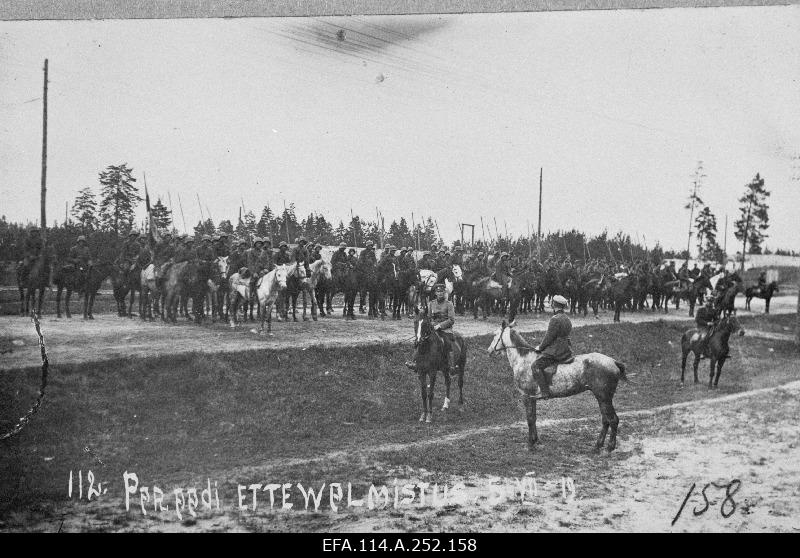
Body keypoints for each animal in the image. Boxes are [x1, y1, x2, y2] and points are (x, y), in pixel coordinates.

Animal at [484, 320, 628, 456]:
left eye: (495, 335)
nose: (489, 351)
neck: (524, 360)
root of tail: (613, 361)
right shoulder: (532, 398)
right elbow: (534, 418)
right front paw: (536, 440)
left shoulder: (526, 396)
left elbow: (529, 419)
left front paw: (530, 444)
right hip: (601, 397)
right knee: (605, 420)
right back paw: (598, 446)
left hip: (604, 397)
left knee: (613, 420)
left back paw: (609, 448)